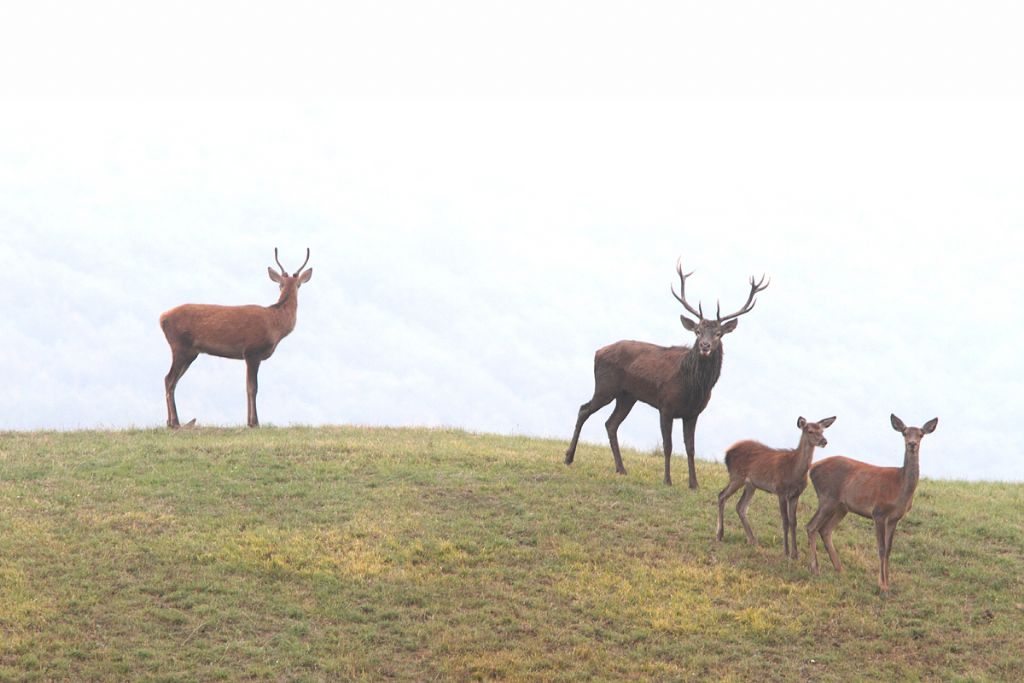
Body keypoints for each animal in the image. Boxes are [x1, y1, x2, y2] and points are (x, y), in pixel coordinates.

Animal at [157, 245, 311, 428]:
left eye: (286, 284)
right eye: (296, 285)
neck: (276, 326)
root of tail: (161, 318)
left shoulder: (249, 355)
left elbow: (247, 387)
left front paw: (249, 422)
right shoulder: (252, 351)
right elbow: (253, 388)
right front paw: (254, 423)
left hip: (190, 352)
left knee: (171, 381)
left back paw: (170, 422)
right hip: (180, 347)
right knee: (169, 379)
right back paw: (175, 422)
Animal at [569, 259, 770, 489]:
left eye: (718, 333)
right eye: (697, 332)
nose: (705, 346)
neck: (693, 387)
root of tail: (597, 352)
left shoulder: (693, 413)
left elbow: (690, 448)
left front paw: (694, 484)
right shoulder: (665, 407)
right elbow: (668, 445)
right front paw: (667, 480)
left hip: (627, 396)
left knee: (610, 424)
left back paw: (621, 469)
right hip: (605, 387)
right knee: (584, 410)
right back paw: (569, 458)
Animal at [716, 413, 835, 557]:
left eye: (822, 431)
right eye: (810, 431)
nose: (824, 441)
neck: (793, 470)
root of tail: (727, 453)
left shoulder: (795, 494)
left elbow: (793, 521)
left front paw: (795, 554)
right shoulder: (780, 490)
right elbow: (785, 521)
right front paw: (786, 551)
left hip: (751, 485)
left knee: (740, 506)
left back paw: (753, 540)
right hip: (736, 476)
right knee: (722, 495)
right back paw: (720, 535)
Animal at [802, 413, 937, 593]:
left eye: (921, 434)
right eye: (904, 433)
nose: (912, 444)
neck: (900, 488)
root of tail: (812, 468)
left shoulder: (895, 518)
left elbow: (889, 549)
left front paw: (888, 582)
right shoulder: (878, 512)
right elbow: (881, 548)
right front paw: (882, 585)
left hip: (841, 506)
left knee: (825, 529)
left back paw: (839, 568)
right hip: (827, 498)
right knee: (811, 526)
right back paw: (815, 569)